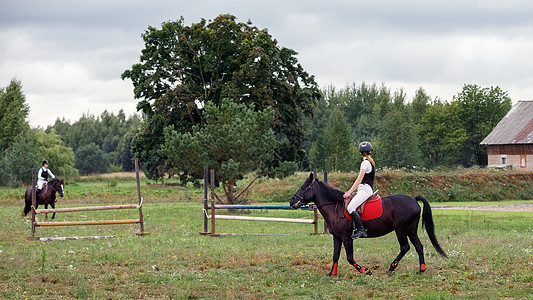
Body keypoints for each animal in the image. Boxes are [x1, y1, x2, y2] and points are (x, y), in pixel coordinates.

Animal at [288, 173, 446, 276]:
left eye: (304, 187)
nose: (291, 201)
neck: (335, 207)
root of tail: (413, 199)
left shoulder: (347, 237)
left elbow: (350, 258)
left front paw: (365, 270)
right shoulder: (337, 237)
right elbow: (335, 255)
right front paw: (332, 273)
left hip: (401, 230)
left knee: (405, 247)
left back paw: (392, 267)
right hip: (411, 230)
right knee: (419, 246)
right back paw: (421, 269)